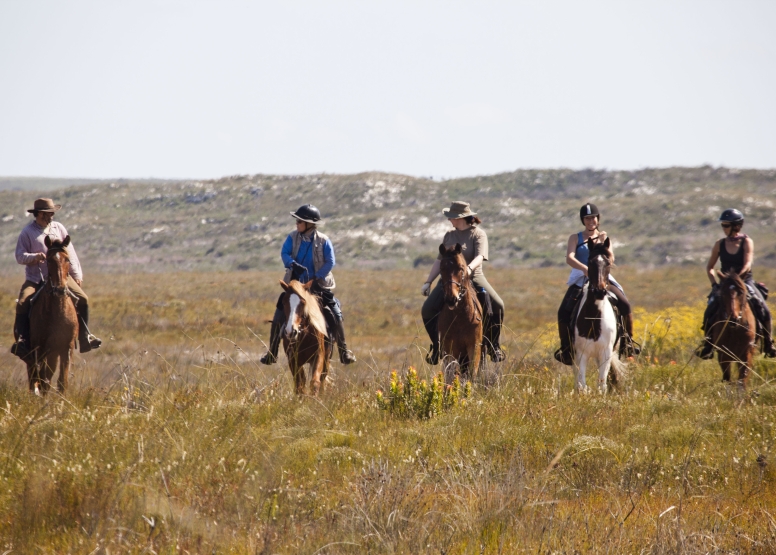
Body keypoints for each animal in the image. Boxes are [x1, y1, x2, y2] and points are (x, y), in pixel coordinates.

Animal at [27, 237, 78, 394]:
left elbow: (62, 382)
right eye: (48, 260)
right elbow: (43, 379)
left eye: (67, 259)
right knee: (34, 376)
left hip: (53, 353)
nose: (60, 289)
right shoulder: (41, 348)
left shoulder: (66, 348)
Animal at [436, 245, 484, 380]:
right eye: (441, 268)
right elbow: (451, 374)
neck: (460, 317)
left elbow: (472, 374)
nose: (451, 299)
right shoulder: (449, 348)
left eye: (461, 268)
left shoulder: (474, 346)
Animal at [572, 237, 628, 394]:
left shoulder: (605, 353)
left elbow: (602, 384)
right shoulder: (581, 354)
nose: (599, 291)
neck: (593, 318)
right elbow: (582, 384)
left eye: (608, 263)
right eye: (590, 261)